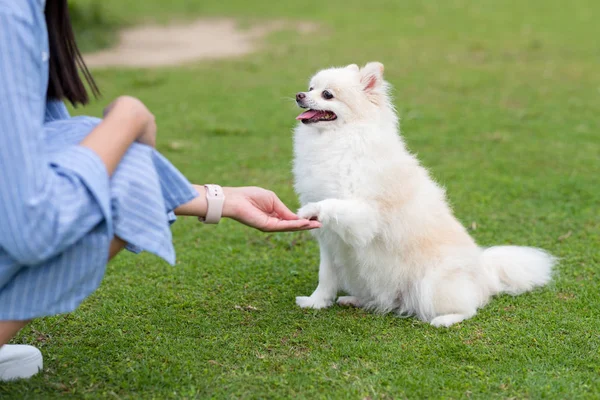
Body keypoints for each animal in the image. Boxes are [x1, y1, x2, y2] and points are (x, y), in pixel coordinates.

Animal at [292, 61, 556, 326]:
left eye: (327, 94)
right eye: (311, 88)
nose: (299, 95)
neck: (338, 139)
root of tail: (484, 272)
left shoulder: (364, 216)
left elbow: (333, 204)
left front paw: (309, 210)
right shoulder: (329, 242)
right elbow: (325, 276)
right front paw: (316, 302)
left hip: (432, 284)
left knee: (469, 308)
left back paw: (445, 320)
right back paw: (355, 299)